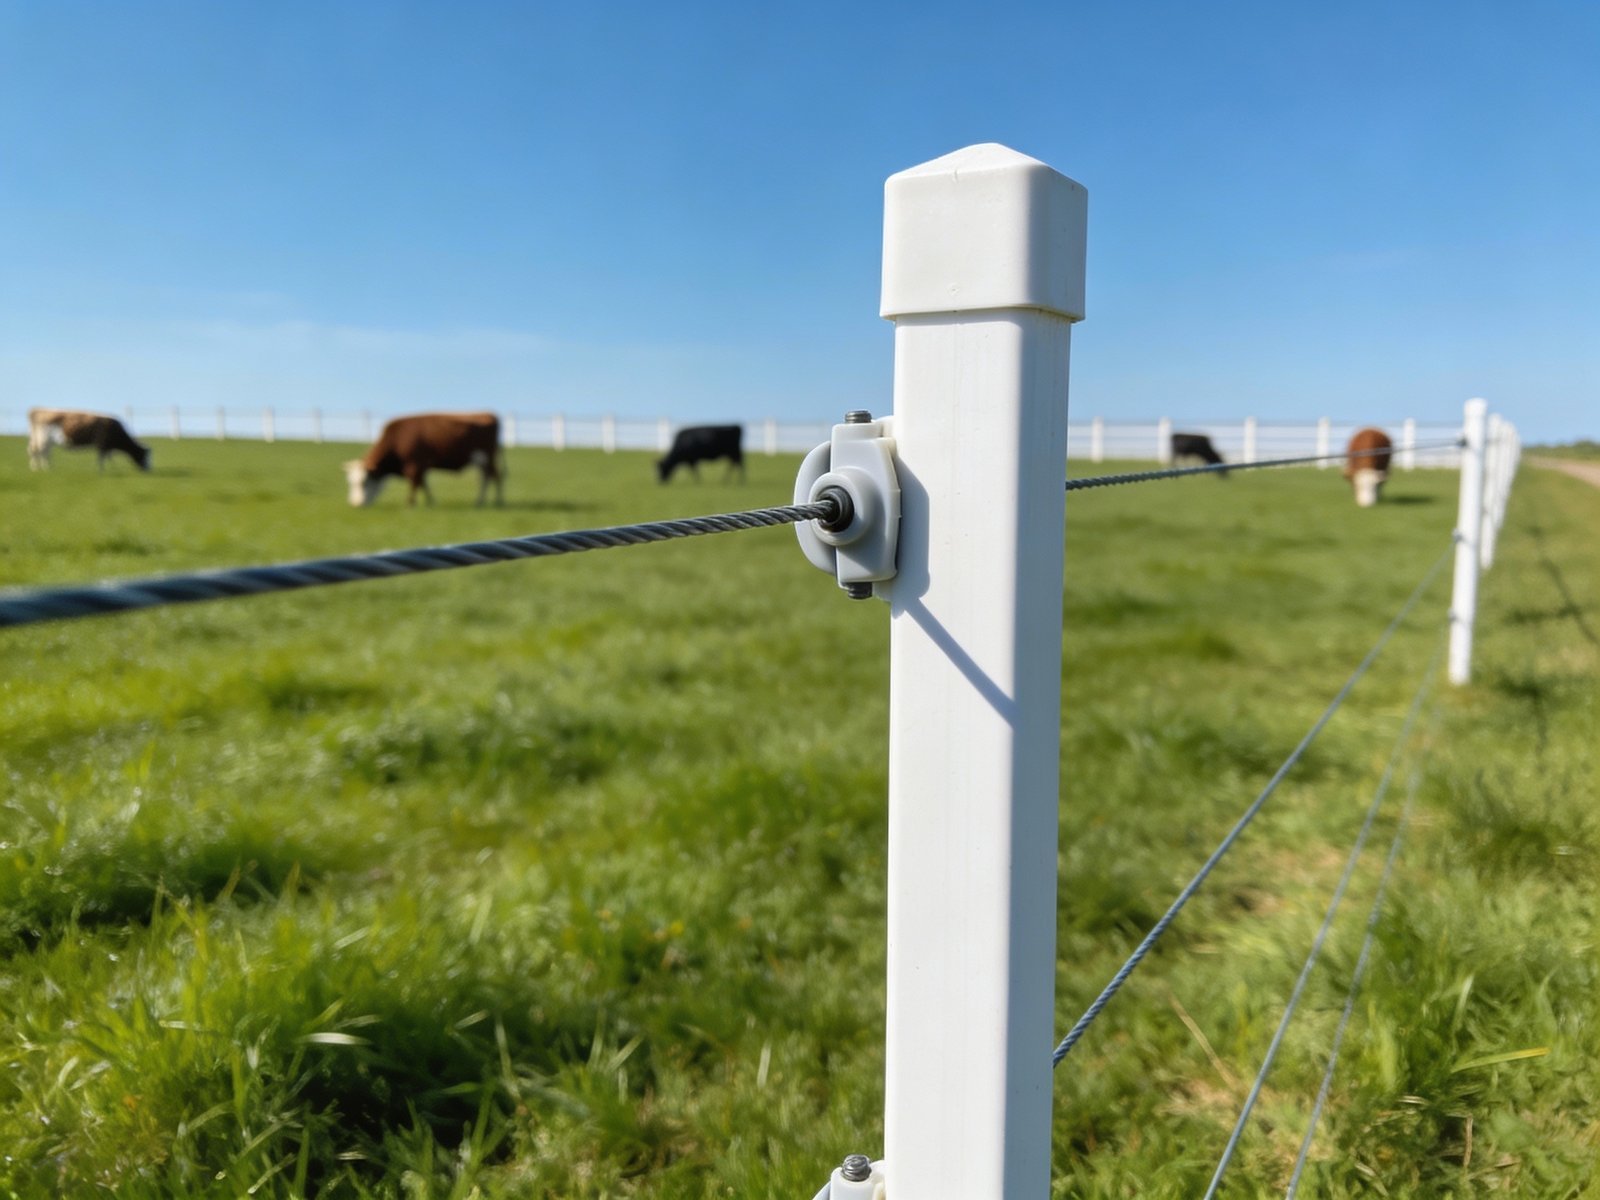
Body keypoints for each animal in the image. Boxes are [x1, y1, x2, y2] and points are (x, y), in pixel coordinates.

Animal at [343, 412, 504, 507]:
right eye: (350, 482)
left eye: (364, 482)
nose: (355, 504)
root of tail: (488, 414)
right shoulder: (421, 466)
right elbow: (424, 484)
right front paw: (430, 502)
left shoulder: (414, 465)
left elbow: (415, 484)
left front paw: (410, 504)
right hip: (481, 460)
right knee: (485, 477)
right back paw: (481, 501)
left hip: (487, 457)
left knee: (494, 476)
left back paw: (494, 501)